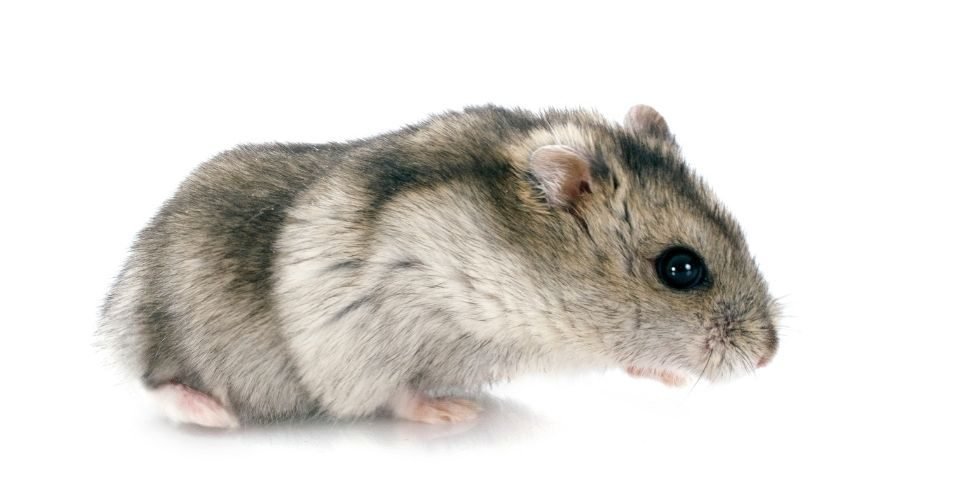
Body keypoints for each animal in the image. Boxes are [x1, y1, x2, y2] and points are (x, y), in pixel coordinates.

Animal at [98, 104, 779, 428]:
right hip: (182, 332)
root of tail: (121, 299)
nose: (769, 357)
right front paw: (454, 413)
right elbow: (394, 390)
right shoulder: (367, 325)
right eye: (681, 269)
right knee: (155, 382)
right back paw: (212, 414)